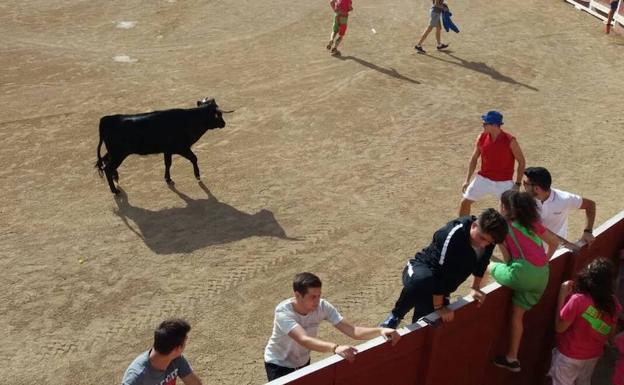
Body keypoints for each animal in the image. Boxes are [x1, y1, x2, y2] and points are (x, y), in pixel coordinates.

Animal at [96, 97, 233, 194]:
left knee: (105, 161)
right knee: (107, 168)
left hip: (114, 152)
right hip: (119, 154)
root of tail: (106, 119)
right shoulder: (182, 148)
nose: (224, 123)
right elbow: (194, 158)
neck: (190, 120)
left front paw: (168, 179)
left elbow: (168, 163)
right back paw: (115, 190)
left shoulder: (168, 150)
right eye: (218, 114)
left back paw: (116, 178)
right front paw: (197, 175)